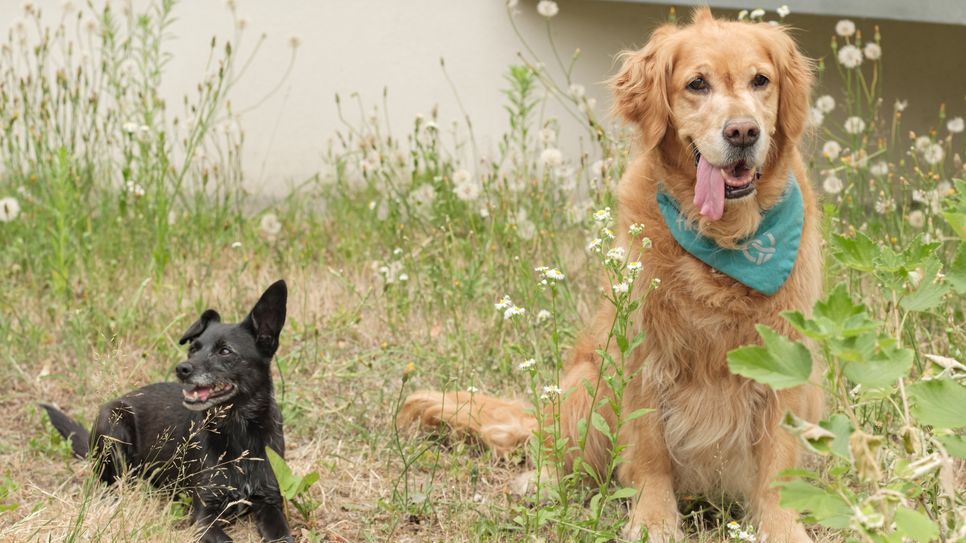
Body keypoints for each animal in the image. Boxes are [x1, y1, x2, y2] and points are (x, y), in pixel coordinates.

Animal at [39, 282, 294, 540]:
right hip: (111, 421)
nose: (182, 369)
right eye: (193, 349)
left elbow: (283, 535)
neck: (238, 430)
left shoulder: (270, 501)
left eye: (225, 351)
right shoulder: (204, 515)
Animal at [400, 9, 824, 543]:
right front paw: (654, 520)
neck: (726, 239)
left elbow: (777, 464)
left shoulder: (785, 360)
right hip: (588, 380)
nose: (743, 132)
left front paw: (782, 525)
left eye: (761, 81)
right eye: (697, 84)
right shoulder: (642, 352)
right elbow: (648, 451)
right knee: (563, 452)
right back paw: (541, 482)